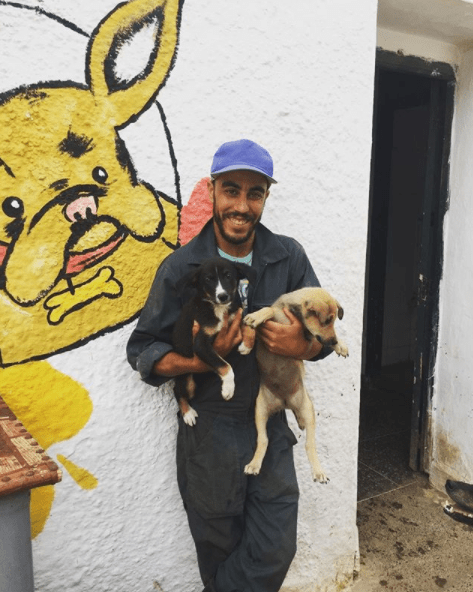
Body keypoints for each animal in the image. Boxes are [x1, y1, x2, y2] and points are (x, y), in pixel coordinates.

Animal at [172, 257, 256, 426]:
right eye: (208, 279)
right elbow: (225, 366)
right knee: (177, 392)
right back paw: (187, 413)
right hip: (187, 381)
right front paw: (228, 389)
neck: (218, 308)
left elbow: (249, 326)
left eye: (228, 276)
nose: (223, 296)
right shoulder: (201, 343)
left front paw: (247, 345)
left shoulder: (235, 315)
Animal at [240, 287, 348, 482]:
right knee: (263, 440)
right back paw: (254, 464)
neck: (293, 312)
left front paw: (341, 345)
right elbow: (267, 311)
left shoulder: (307, 336)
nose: (334, 342)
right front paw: (251, 328)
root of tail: (284, 402)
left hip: (307, 409)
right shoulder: (266, 329)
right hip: (259, 409)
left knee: (309, 445)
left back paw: (318, 471)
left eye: (333, 321)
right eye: (326, 321)